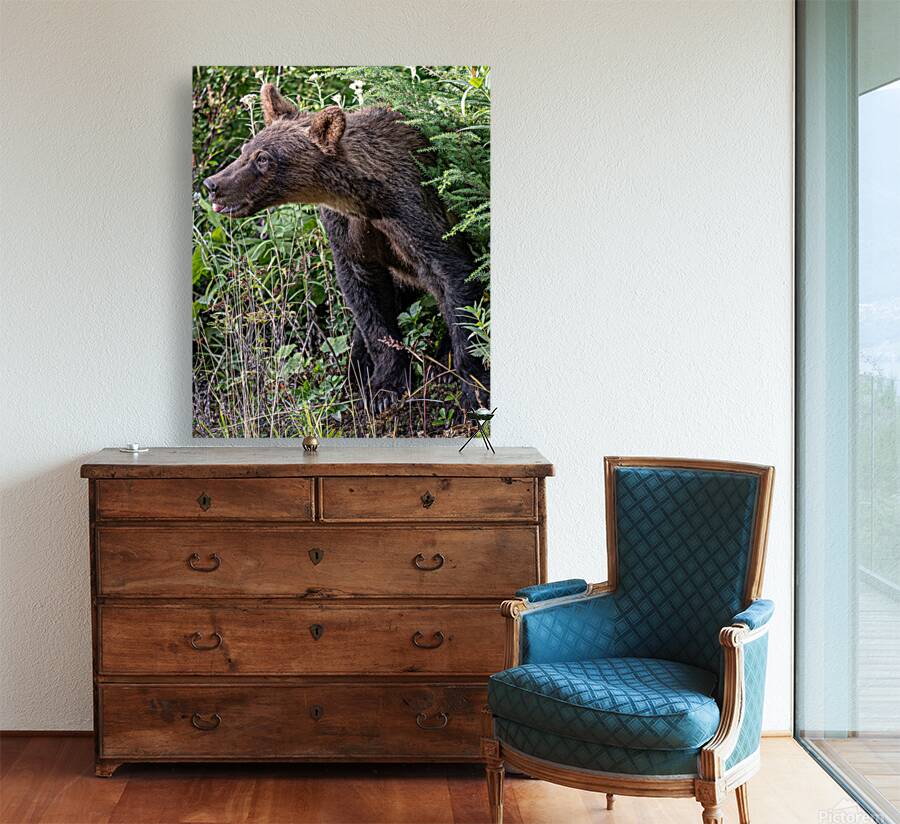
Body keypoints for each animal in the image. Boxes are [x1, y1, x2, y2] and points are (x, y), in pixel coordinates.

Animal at [202, 83, 489, 413]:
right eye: (244, 150)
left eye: (263, 158)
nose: (213, 184)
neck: (367, 201)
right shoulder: (347, 230)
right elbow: (366, 301)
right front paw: (384, 387)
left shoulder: (416, 212)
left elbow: (454, 277)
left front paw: (473, 386)